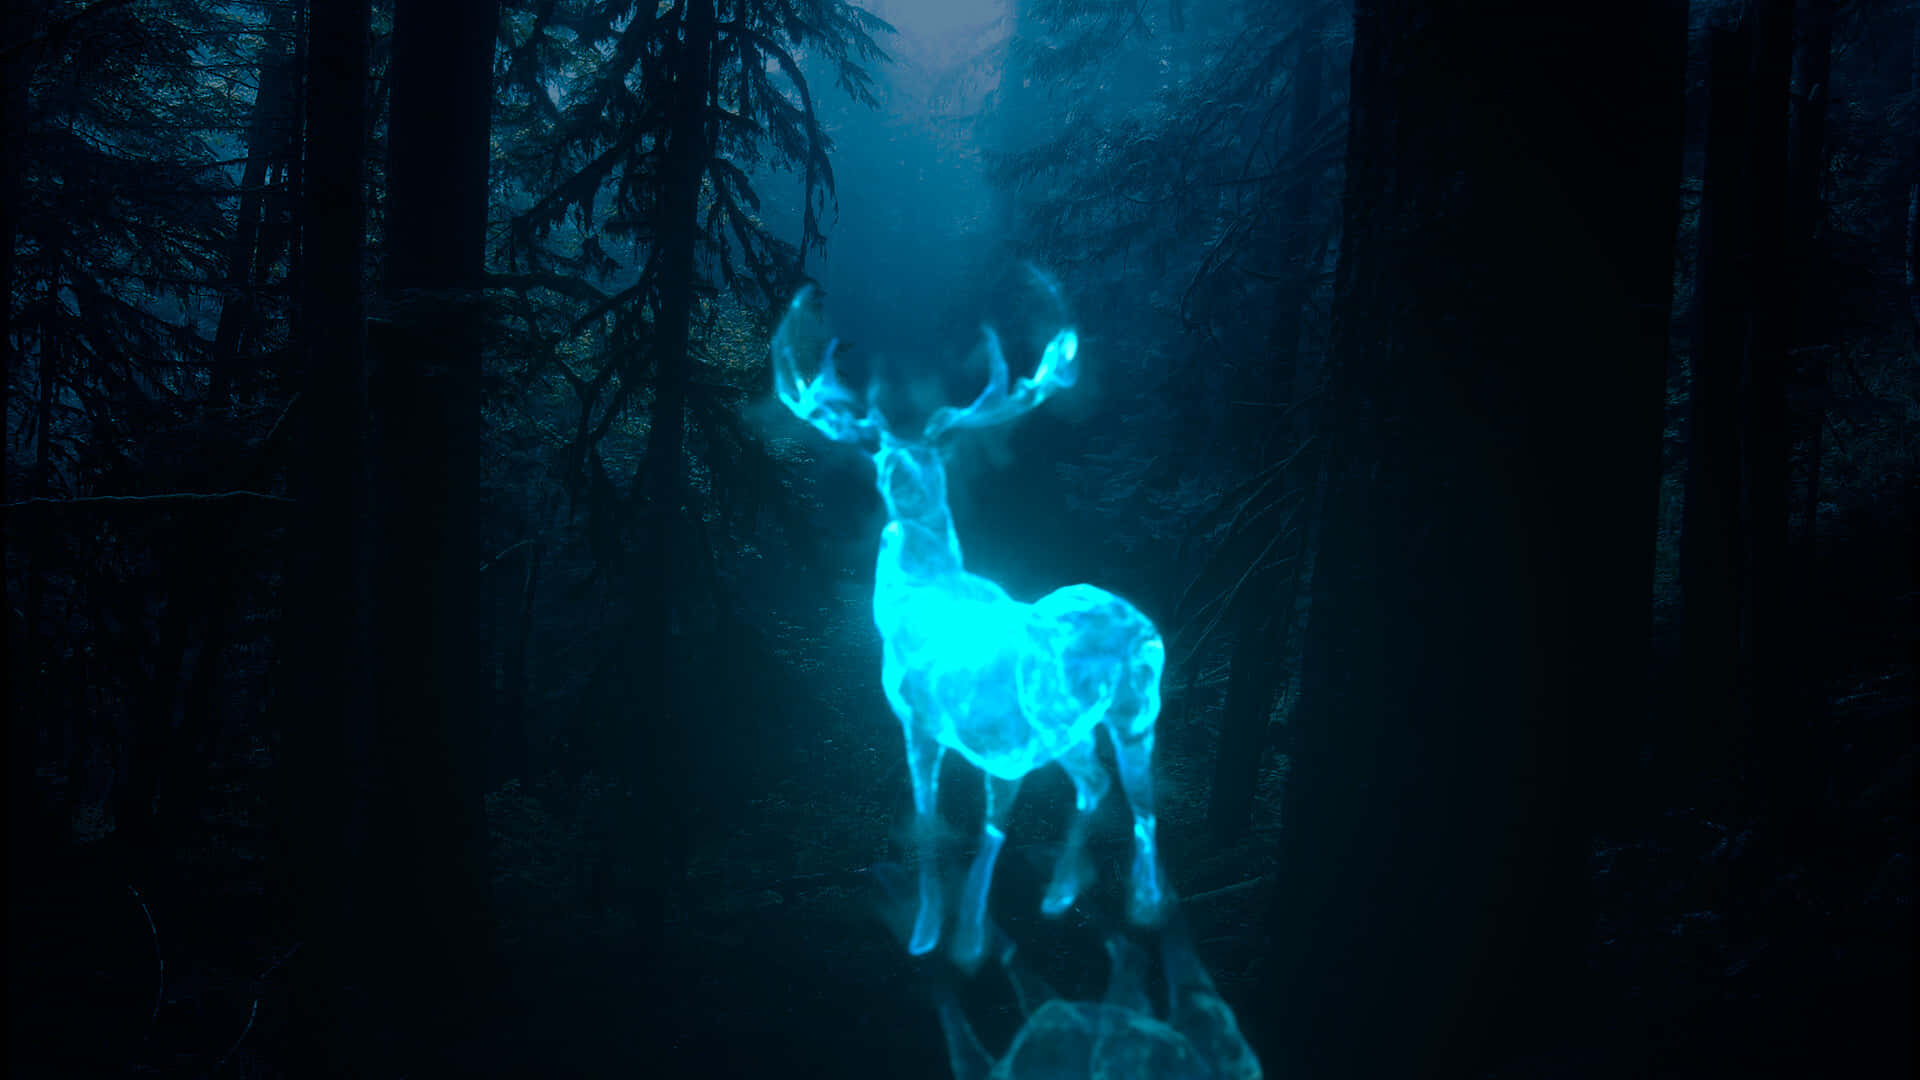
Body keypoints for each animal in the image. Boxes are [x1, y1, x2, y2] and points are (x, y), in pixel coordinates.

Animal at [771, 271, 1168, 971]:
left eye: (923, 463)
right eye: (888, 464)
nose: (906, 498)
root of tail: (1142, 627)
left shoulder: (965, 729)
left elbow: (959, 828)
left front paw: (951, 937)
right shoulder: (967, 736)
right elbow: (957, 826)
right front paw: (950, 932)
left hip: (1105, 711)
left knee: (1125, 795)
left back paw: (1116, 902)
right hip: (1103, 723)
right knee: (1112, 790)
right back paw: (1092, 899)